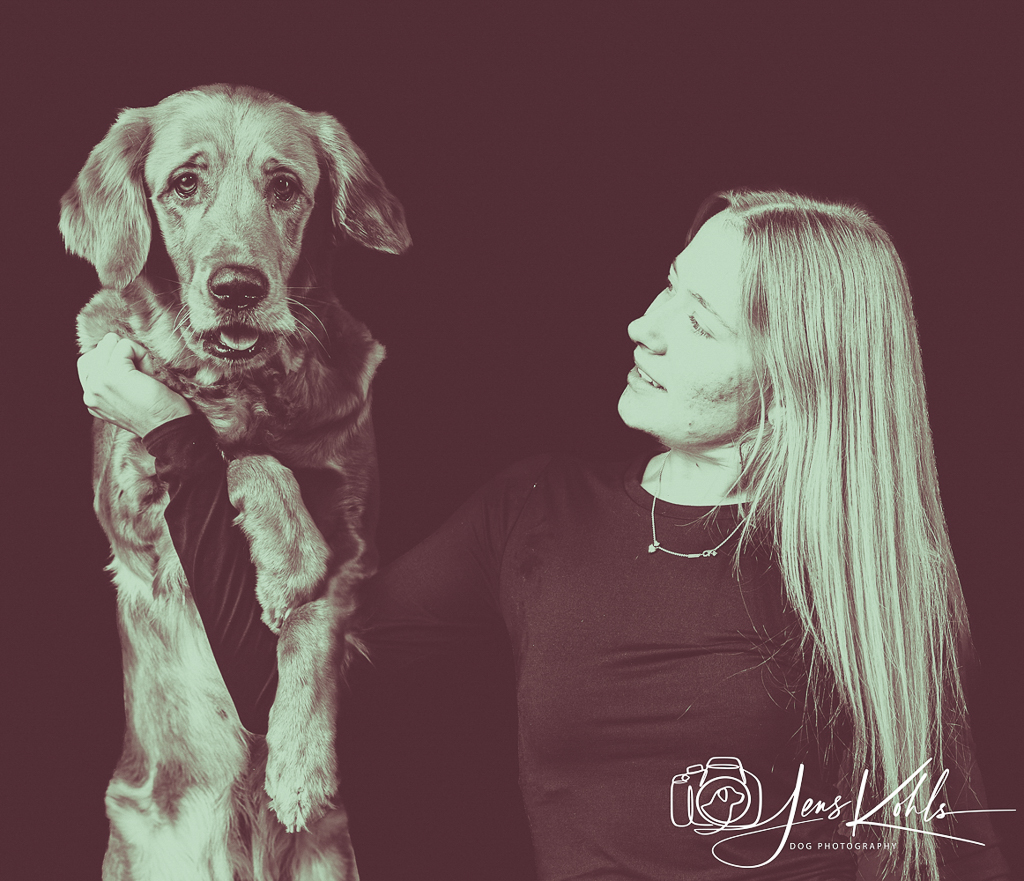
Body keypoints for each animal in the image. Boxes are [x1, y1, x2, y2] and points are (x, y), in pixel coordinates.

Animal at [61, 84, 410, 880]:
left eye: (283, 185)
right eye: (185, 183)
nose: (237, 288)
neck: (247, 388)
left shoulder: (360, 544)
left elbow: (315, 620)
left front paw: (301, 760)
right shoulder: (133, 516)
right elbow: (237, 457)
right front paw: (288, 553)